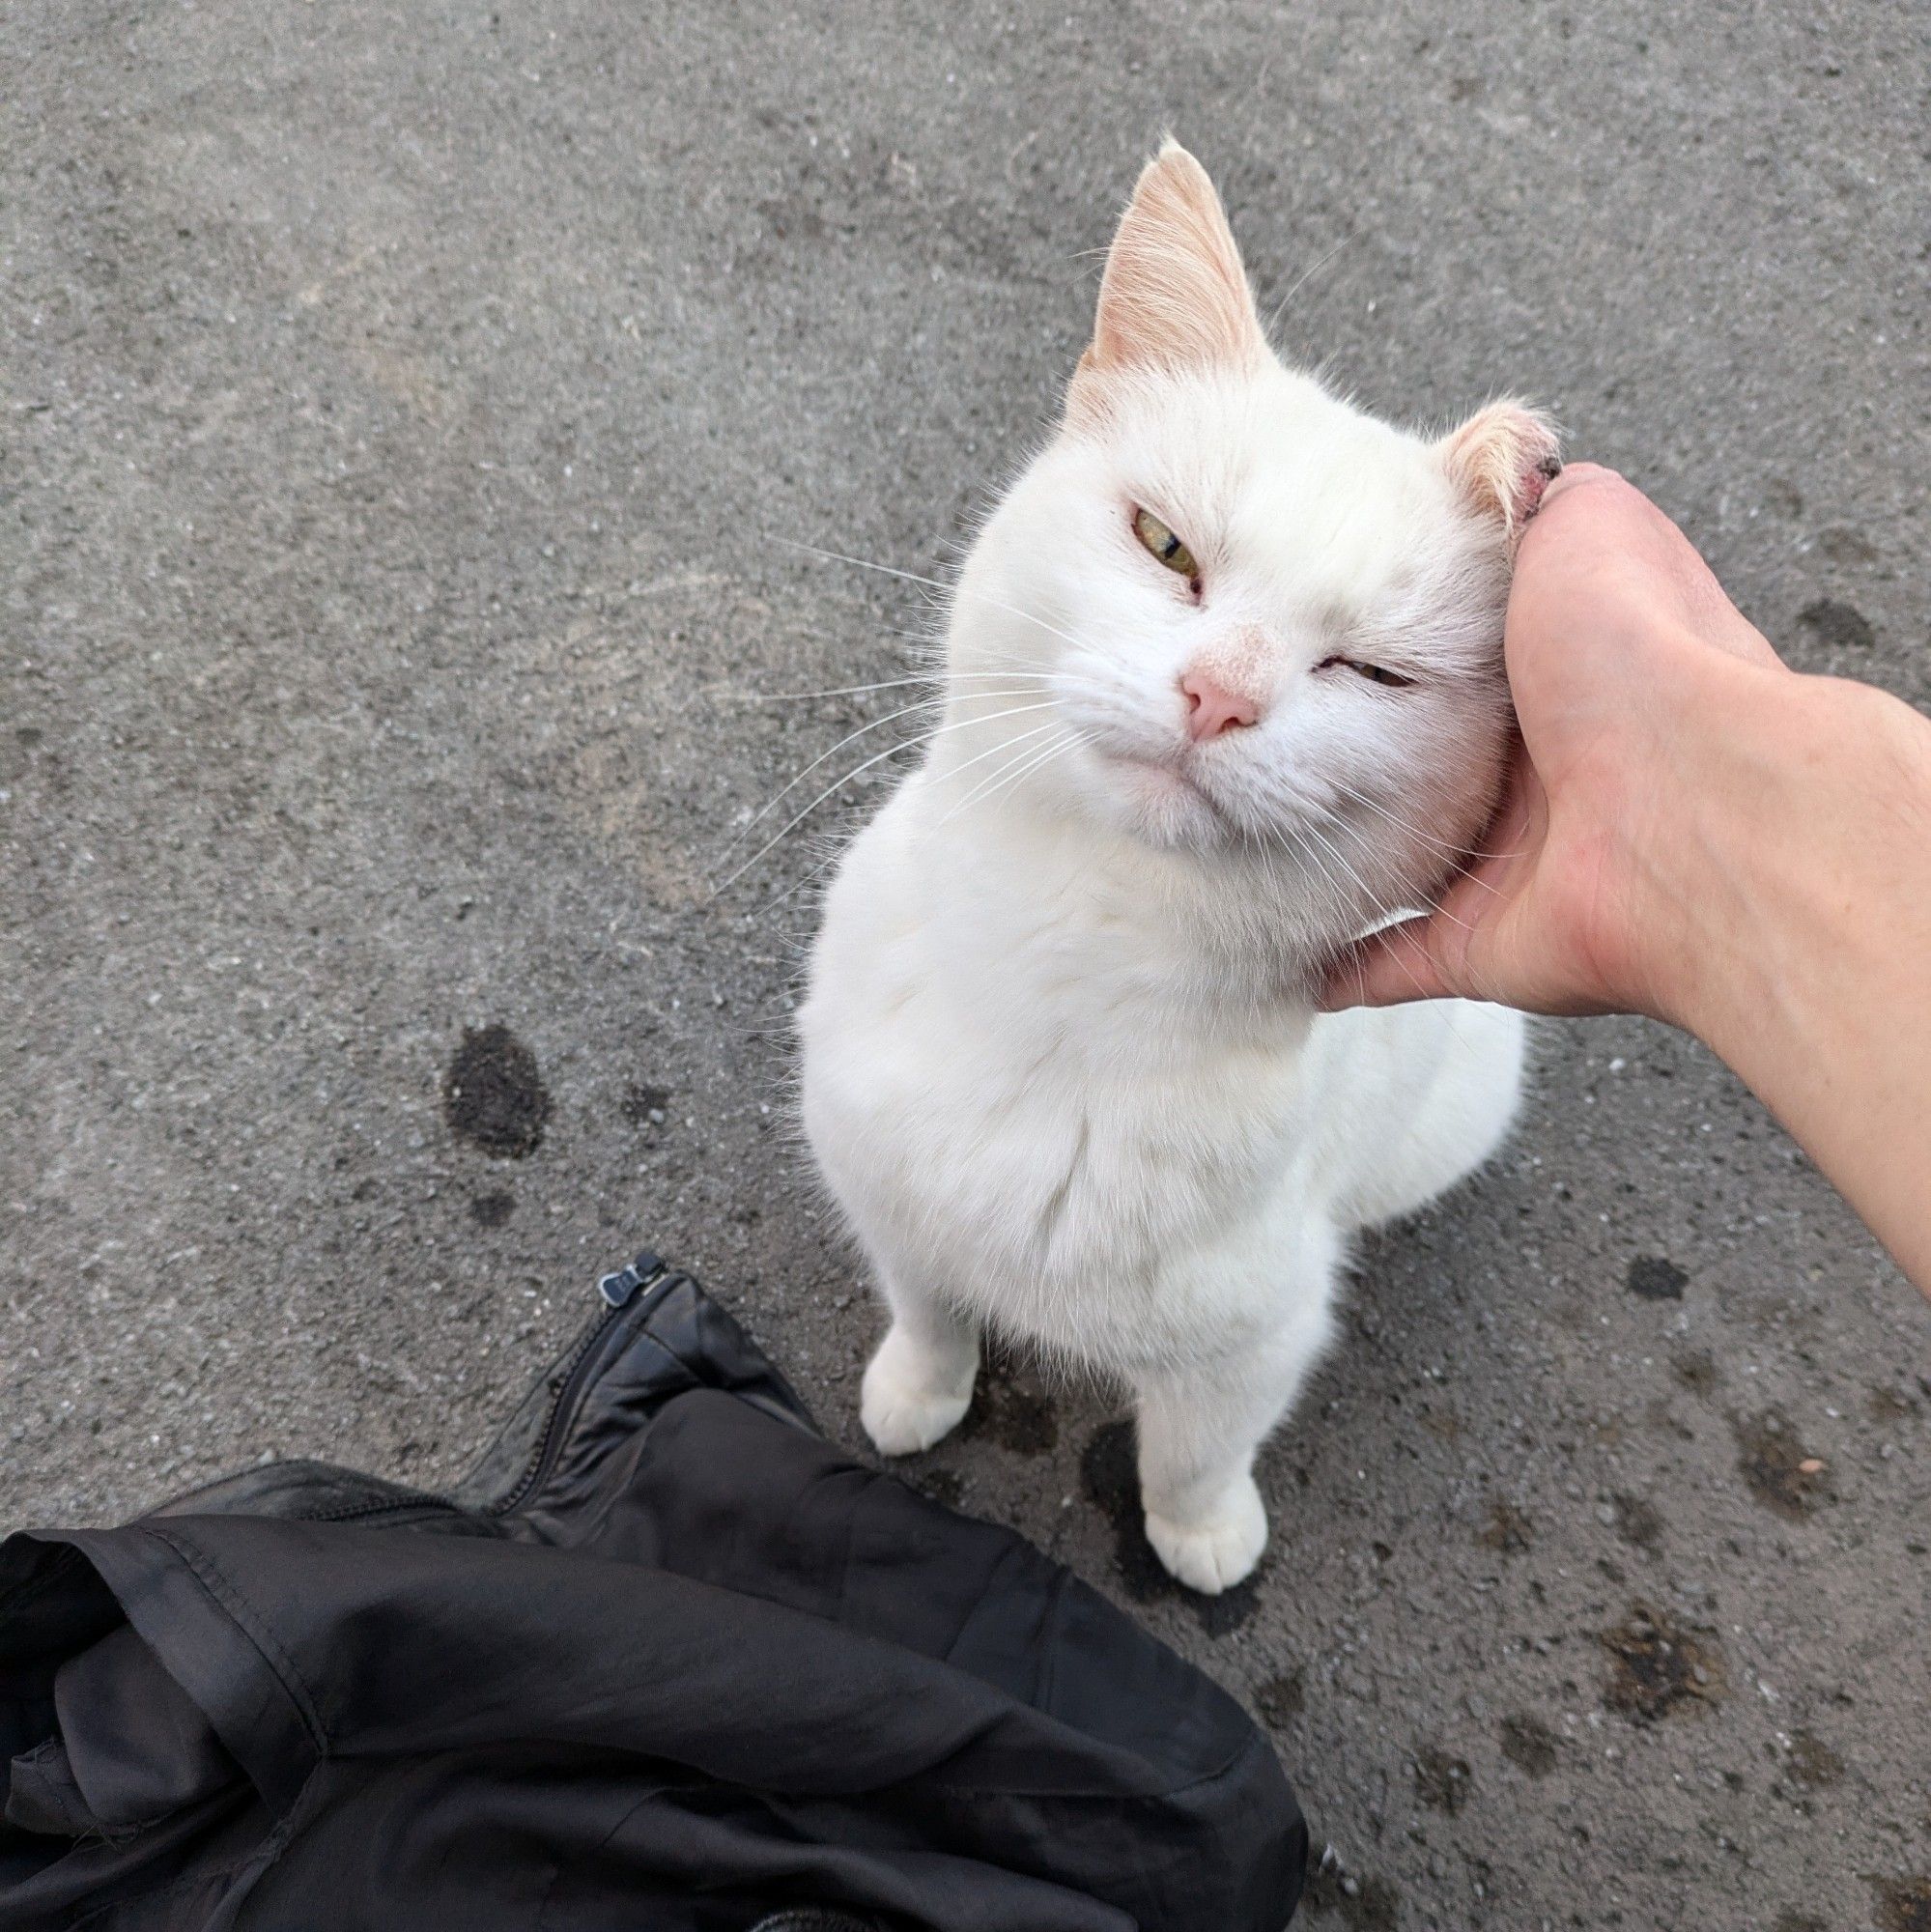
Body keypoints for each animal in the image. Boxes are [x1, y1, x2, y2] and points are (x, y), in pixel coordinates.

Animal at [795, 143, 1552, 1600]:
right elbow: (927, 1309)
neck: (1077, 964)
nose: (1217, 696)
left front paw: (1202, 1538)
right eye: (1164, 546)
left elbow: (1194, 1450)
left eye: (1371, 671)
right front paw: (916, 1392)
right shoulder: (881, 1189)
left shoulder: (1252, 1334)